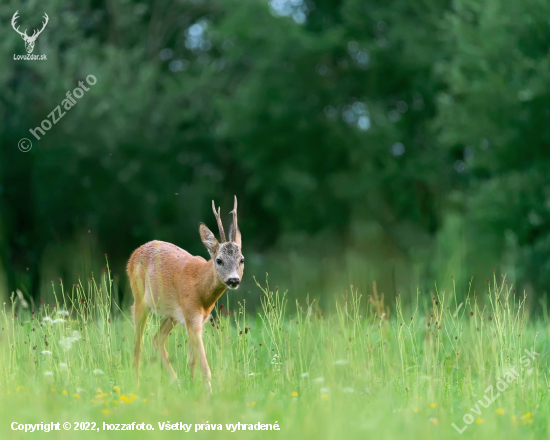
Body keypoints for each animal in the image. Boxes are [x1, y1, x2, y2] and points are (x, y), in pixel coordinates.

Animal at [128, 196, 245, 392]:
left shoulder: (198, 319)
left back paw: (175, 382)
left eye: (242, 259)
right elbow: (204, 366)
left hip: (172, 314)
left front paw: (192, 386)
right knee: (138, 345)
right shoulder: (192, 315)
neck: (201, 289)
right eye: (219, 260)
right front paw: (208, 394)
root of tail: (134, 252)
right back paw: (136, 385)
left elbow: (192, 360)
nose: (234, 280)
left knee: (157, 339)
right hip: (139, 299)